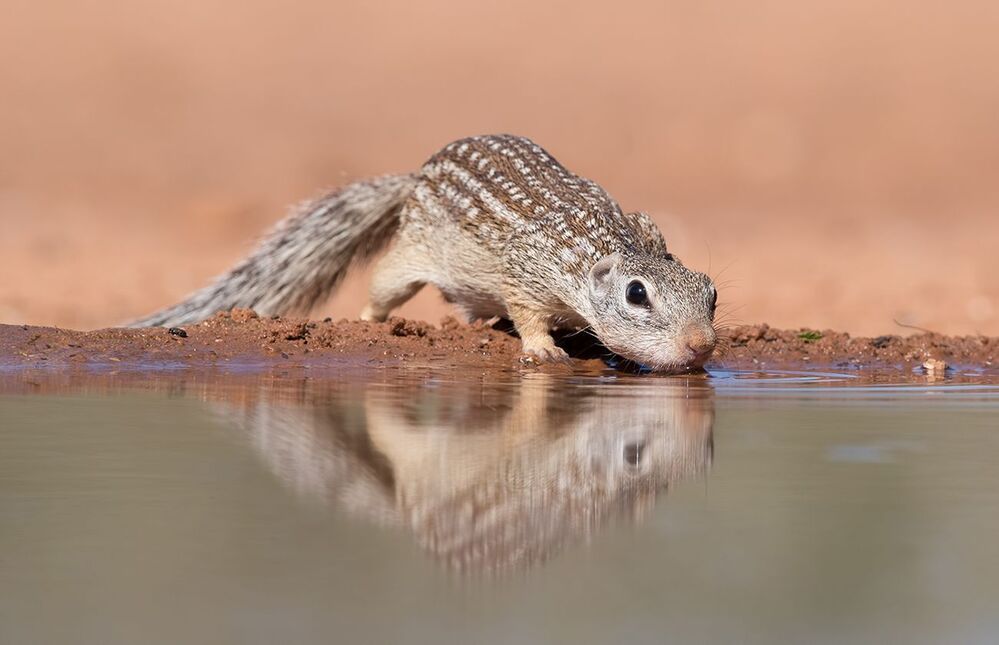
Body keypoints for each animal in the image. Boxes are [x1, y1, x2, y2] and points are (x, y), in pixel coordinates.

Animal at [132, 134, 718, 372]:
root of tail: (414, 178)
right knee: (381, 288)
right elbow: (528, 312)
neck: (607, 242)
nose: (701, 345)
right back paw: (370, 320)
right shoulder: (527, 269)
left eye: (711, 293)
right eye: (637, 295)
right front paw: (545, 349)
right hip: (408, 260)